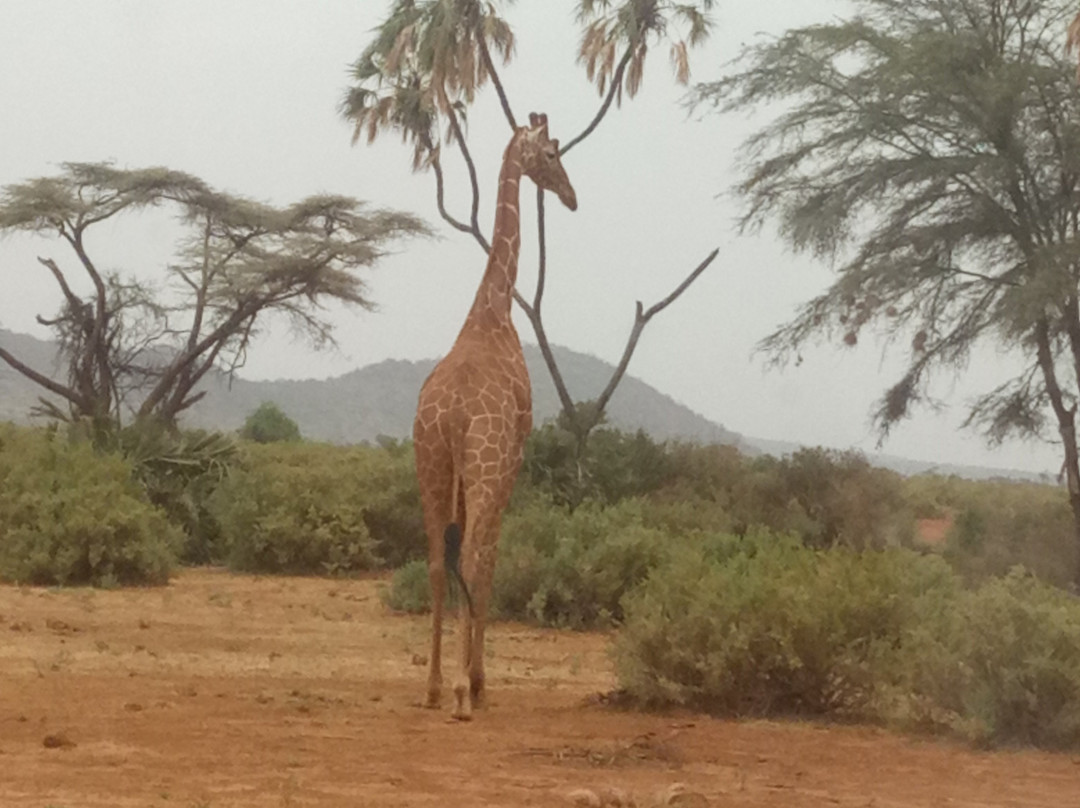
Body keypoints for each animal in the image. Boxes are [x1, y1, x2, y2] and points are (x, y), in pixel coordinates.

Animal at [412, 111, 578, 721]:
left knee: (437, 562)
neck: (493, 310)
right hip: (481, 469)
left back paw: (434, 686)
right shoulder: (513, 460)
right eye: (551, 154)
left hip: (432, 465)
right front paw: (480, 680)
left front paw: (456, 677)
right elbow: (491, 559)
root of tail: (455, 413)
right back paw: (464, 692)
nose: (572, 197)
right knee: (470, 559)